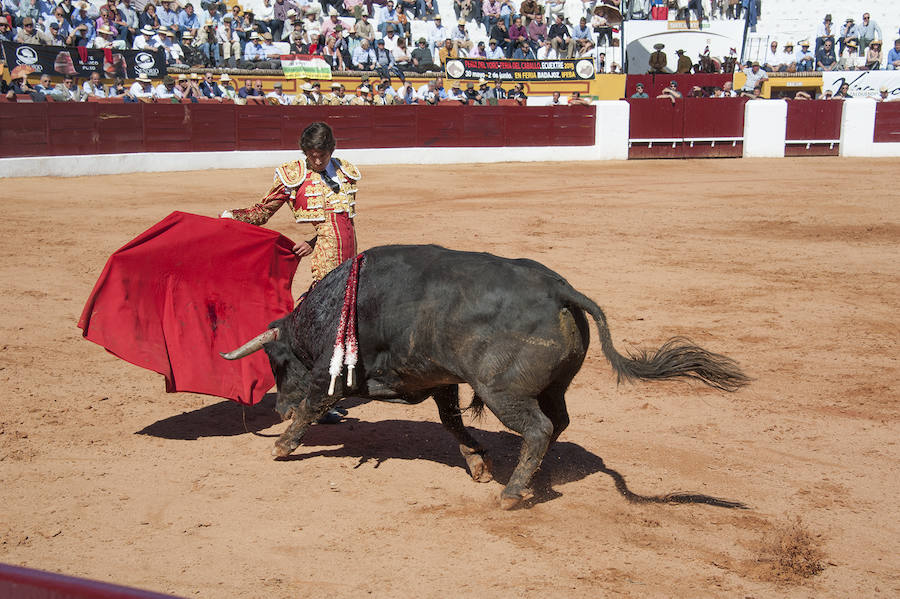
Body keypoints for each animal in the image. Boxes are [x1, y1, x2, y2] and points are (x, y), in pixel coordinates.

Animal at [221, 246, 748, 508]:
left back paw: (513, 494)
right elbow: (452, 422)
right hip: (549, 387)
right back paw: (531, 477)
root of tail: (561, 290)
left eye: (277, 362)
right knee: (556, 423)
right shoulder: (438, 380)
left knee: (538, 427)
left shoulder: (337, 376)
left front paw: (281, 445)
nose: (276, 409)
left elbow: (313, 403)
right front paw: (477, 463)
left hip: (501, 391)